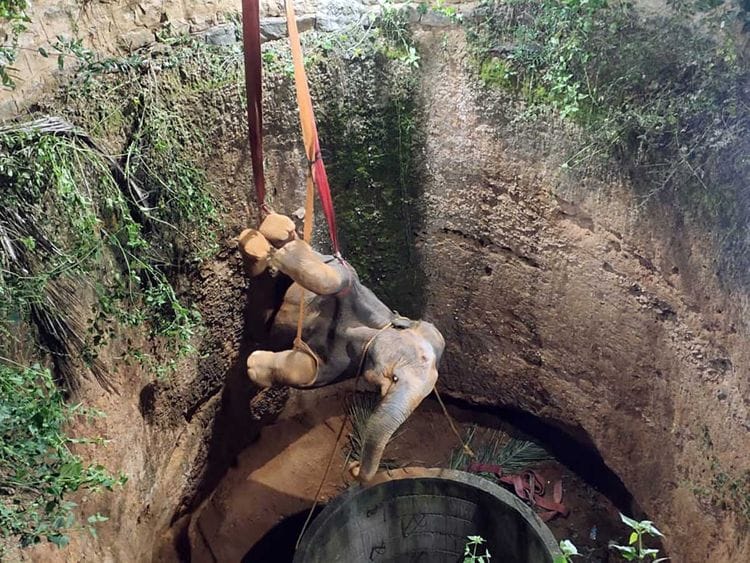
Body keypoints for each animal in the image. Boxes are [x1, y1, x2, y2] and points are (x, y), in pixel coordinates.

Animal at [238, 213, 445, 482]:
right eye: (395, 377)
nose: (353, 466)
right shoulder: (355, 290)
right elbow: (336, 277)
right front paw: (286, 251)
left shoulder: (345, 363)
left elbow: (311, 370)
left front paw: (254, 366)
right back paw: (275, 233)